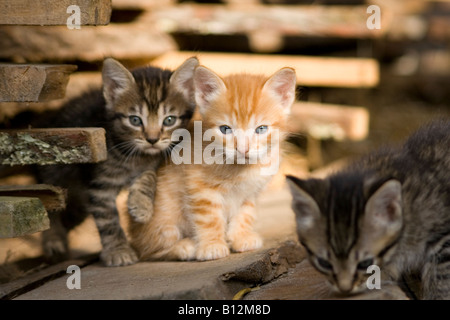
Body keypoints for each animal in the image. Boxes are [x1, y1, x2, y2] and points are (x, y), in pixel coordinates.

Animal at [33, 56, 199, 266]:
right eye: (135, 120)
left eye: (169, 120)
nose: (152, 139)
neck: (133, 156)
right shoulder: (99, 185)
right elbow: (108, 219)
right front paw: (118, 251)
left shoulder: (153, 161)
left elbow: (148, 175)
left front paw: (142, 205)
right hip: (58, 179)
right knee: (51, 209)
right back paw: (53, 241)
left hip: (77, 206)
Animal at [126, 64, 298, 260]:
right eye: (225, 129)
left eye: (261, 129)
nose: (243, 149)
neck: (242, 168)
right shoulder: (201, 188)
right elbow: (210, 218)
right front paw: (212, 245)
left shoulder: (250, 193)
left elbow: (245, 213)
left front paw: (241, 237)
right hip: (162, 221)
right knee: (148, 250)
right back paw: (184, 247)